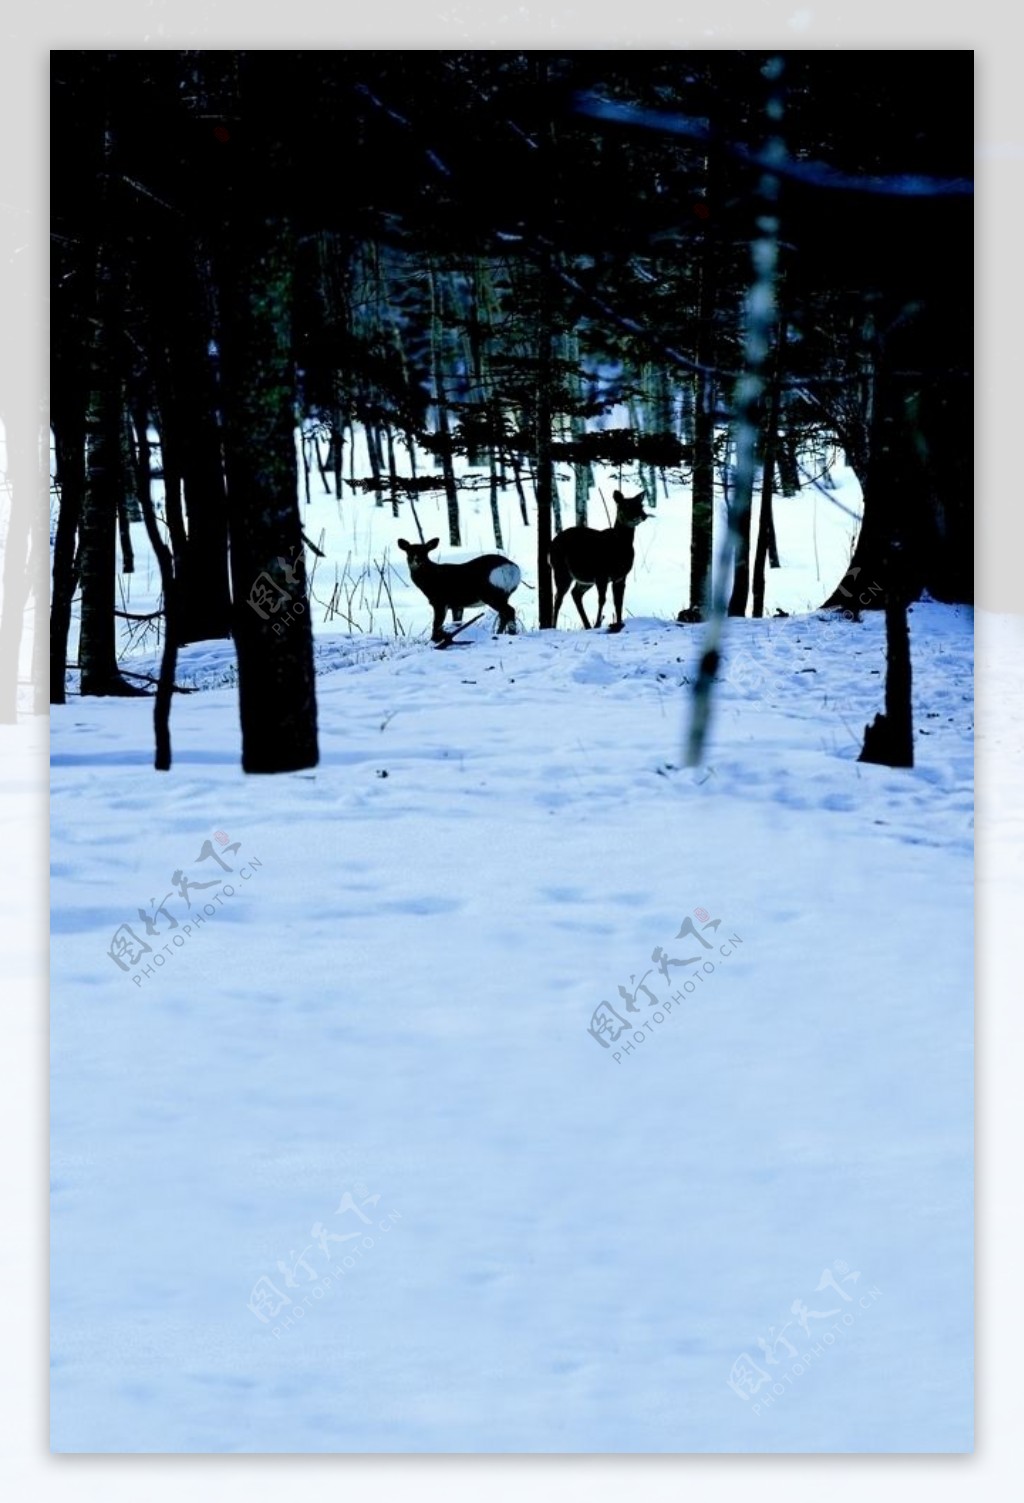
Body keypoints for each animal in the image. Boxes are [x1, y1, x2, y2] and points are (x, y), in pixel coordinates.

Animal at [547, 489, 649, 631]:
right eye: (626, 505)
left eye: (641, 505)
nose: (644, 515)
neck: (620, 547)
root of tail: (551, 546)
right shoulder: (602, 574)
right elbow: (602, 600)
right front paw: (598, 624)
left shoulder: (621, 576)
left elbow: (618, 601)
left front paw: (619, 624)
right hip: (561, 570)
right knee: (558, 598)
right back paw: (554, 626)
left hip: (585, 578)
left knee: (575, 593)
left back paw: (587, 625)